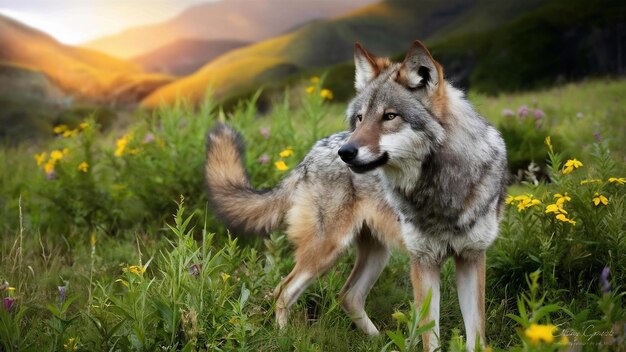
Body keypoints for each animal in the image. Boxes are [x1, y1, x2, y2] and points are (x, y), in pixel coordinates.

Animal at [205, 40, 508, 350]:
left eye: (389, 116)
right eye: (361, 118)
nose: (346, 153)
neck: (441, 191)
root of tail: (308, 156)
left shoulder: (471, 257)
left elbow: (475, 336)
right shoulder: (423, 262)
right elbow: (430, 336)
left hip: (375, 254)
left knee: (347, 296)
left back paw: (379, 340)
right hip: (326, 252)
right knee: (283, 291)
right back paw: (285, 337)